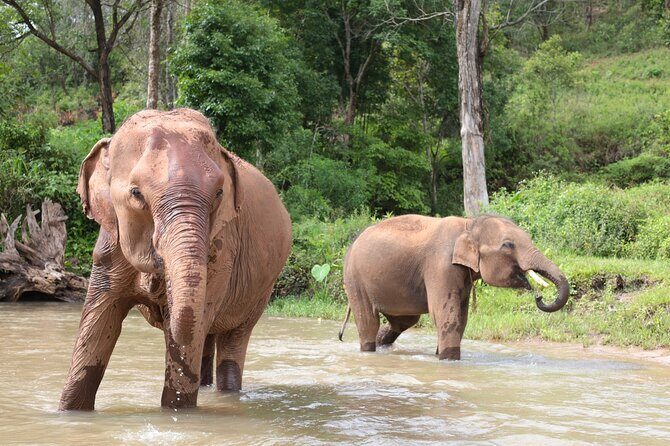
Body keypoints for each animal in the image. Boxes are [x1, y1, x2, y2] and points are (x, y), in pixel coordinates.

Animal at [59, 108, 292, 410]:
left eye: (219, 193)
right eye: (136, 193)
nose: (159, 296)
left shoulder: (222, 250)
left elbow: (188, 335)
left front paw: (177, 411)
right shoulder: (110, 247)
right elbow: (98, 321)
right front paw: (68, 412)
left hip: (261, 289)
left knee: (231, 340)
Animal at [339, 214, 569, 360]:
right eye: (508, 245)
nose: (538, 297)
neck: (469, 224)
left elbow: (462, 316)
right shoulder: (441, 265)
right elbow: (446, 314)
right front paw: (449, 360)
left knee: (404, 321)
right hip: (354, 279)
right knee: (369, 321)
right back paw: (369, 350)